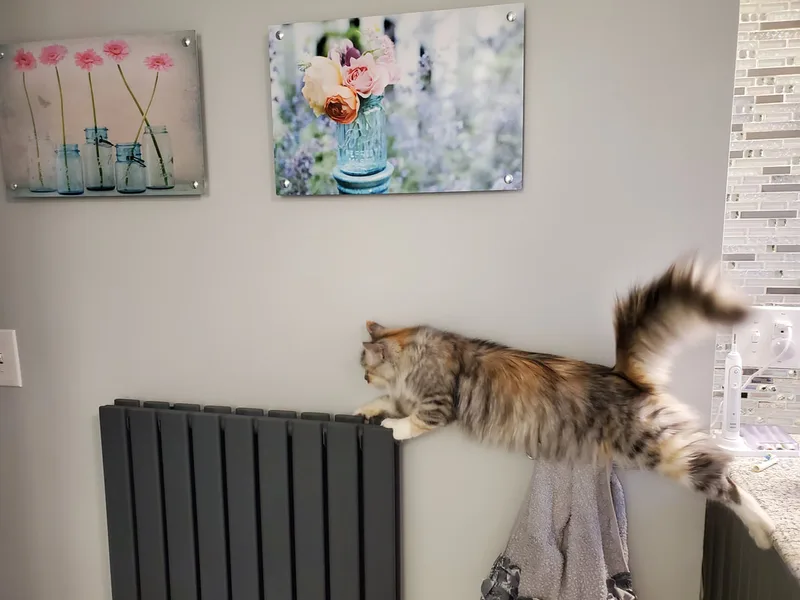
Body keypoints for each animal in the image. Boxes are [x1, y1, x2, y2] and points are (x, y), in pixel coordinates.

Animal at [355, 258, 776, 550]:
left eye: (365, 368)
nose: (361, 379)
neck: (420, 350)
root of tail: (621, 374)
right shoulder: (405, 393)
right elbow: (388, 401)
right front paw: (367, 410)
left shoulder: (438, 401)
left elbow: (413, 419)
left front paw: (393, 427)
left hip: (660, 449)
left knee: (725, 478)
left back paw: (765, 529)